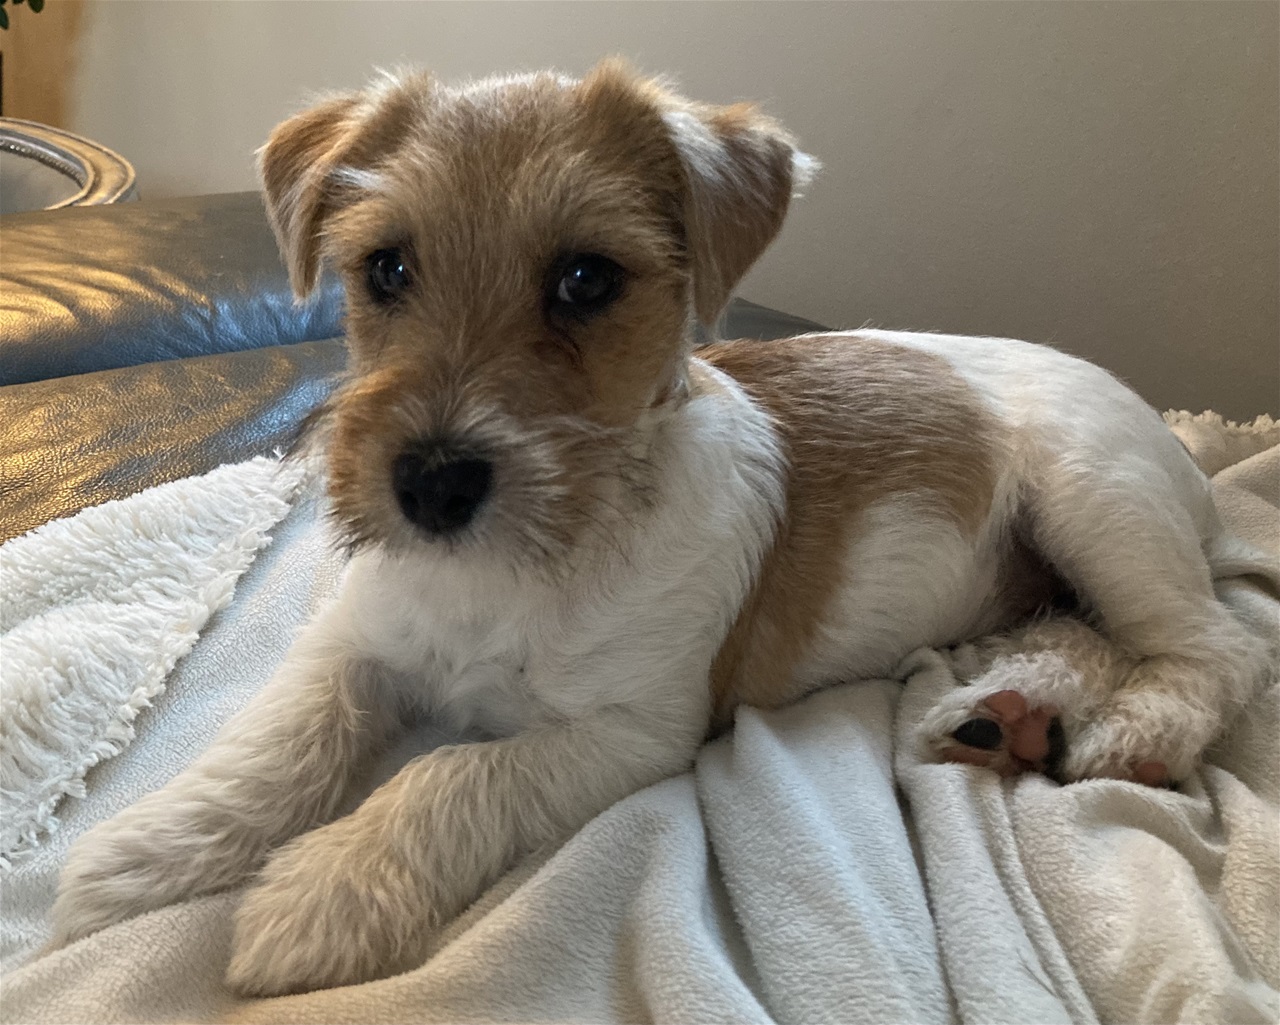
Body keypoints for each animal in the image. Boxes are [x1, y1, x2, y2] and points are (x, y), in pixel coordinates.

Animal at [50, 60, 1268, 996]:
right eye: (386, 266)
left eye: (586, 279)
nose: (430, 484)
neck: (518, 562)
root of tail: (1184, 448)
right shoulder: (353, 644)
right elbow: (278, 738)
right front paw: (149, 845)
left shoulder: (631, 732)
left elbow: (450, 775)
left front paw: (322, 893)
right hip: (1054, 566)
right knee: (1081, 632)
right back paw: (1005, 711)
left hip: (1095, 500)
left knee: (1210, 646)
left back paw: (1137, 726)